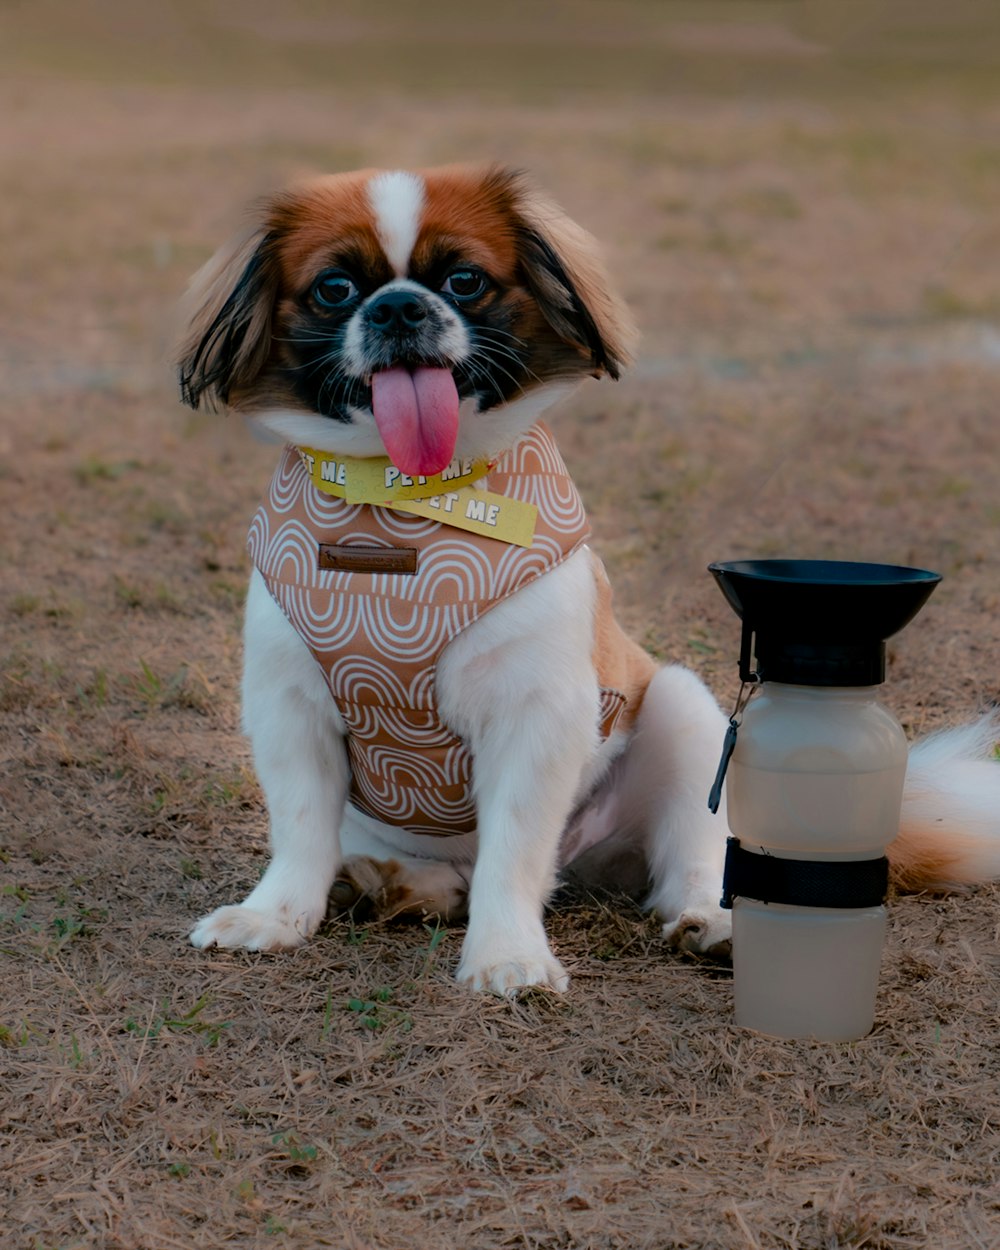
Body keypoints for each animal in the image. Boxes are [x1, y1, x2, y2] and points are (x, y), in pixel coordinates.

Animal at [176, 163, 1000, 995]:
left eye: (465, 280)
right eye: (336, 288)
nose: (399, 306)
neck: (405, 505)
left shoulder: (536, 714)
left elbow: (512, 853)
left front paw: (506, 955)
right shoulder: (290, 705)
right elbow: (300, 832)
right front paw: (274, 917)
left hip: (682, 710)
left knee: (686, 861)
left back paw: (713, 926)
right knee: (439, 872)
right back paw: (396, 885)